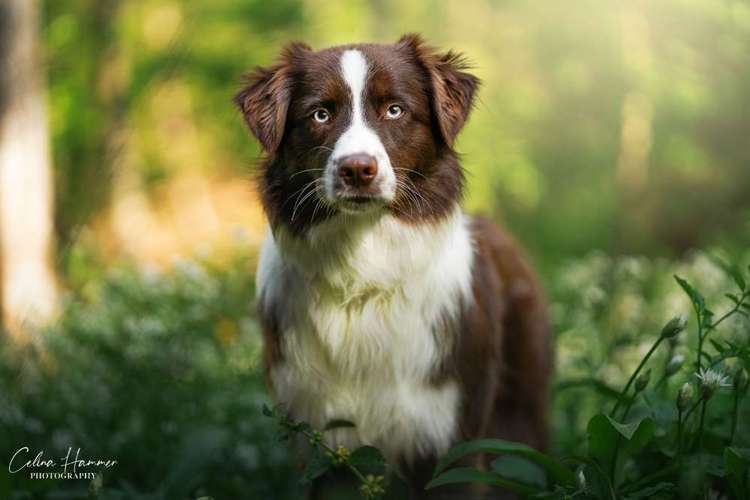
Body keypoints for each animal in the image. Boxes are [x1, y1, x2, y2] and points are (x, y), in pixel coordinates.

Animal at [235, 33, 552, 498]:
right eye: (320, 114)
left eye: (395, 110)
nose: (357, 170)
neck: (363, 271)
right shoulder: (321, 441)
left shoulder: (449, 438)